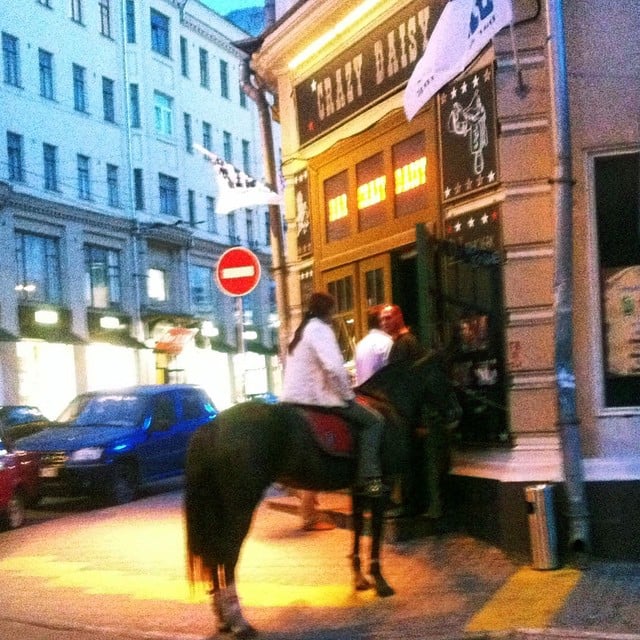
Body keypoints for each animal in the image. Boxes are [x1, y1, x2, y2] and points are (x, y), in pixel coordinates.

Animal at [184, 352, 460, 636]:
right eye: (443, 374)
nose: (456, 412)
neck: (387, 404)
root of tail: (213, 427)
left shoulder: (358, 489)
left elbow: (358, 528)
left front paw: (360, 579)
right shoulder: (380, 489)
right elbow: (375, 534)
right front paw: (380, 582)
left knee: (214, 554)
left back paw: (222, 618)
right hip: (240, 506)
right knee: (227, 553)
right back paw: (239, 621)